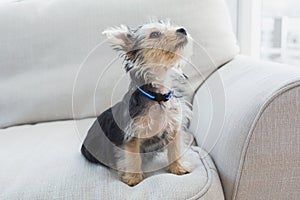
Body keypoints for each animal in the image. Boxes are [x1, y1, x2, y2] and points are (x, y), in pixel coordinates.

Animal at [81, 19, 195, 186]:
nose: (182, 30)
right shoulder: (131, 136)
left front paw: (178, 167)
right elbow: (133, 158)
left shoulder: (174, 127)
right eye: (154, 34)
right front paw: (133, 179)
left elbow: (175, 150)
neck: (157, 96)